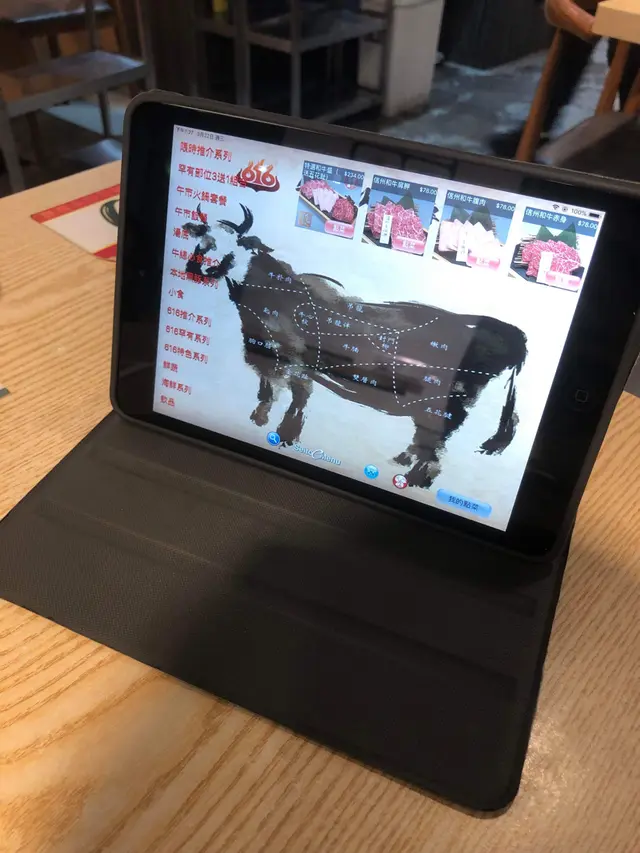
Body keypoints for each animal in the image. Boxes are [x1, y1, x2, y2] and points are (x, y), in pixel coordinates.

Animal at [182, 204, 528, 490]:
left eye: (239, 245)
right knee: (426, 444)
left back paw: (414, 479)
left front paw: (281, 433)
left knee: (433, 449)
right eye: (204, 242)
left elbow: (292, 398)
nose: (204, 268)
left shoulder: (290, 360)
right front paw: (263, 422)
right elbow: (270, 392)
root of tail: (512, 336)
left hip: (445, 404)